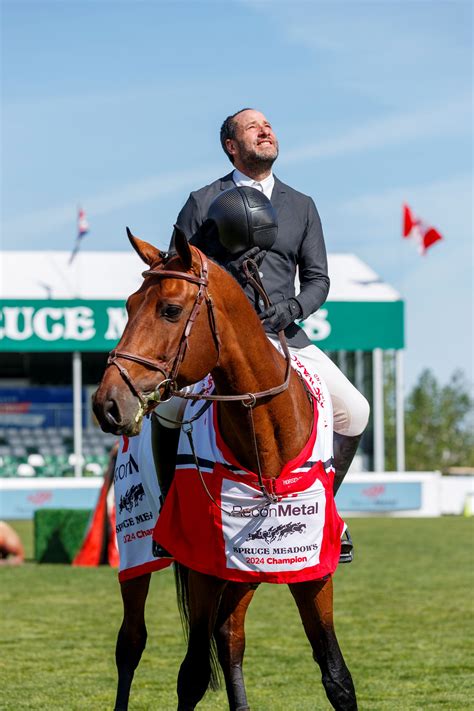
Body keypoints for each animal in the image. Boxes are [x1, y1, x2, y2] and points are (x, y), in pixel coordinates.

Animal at [93, 227, 357, 711]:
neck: (266, 435)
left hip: (244, 571)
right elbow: (192, 675)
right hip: (137, 553)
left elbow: (336, 676)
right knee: (131, 642)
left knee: (229, 636)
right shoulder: (203, 569)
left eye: (170, 309)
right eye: (127, 305)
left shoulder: (311, 567)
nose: (107, 403)